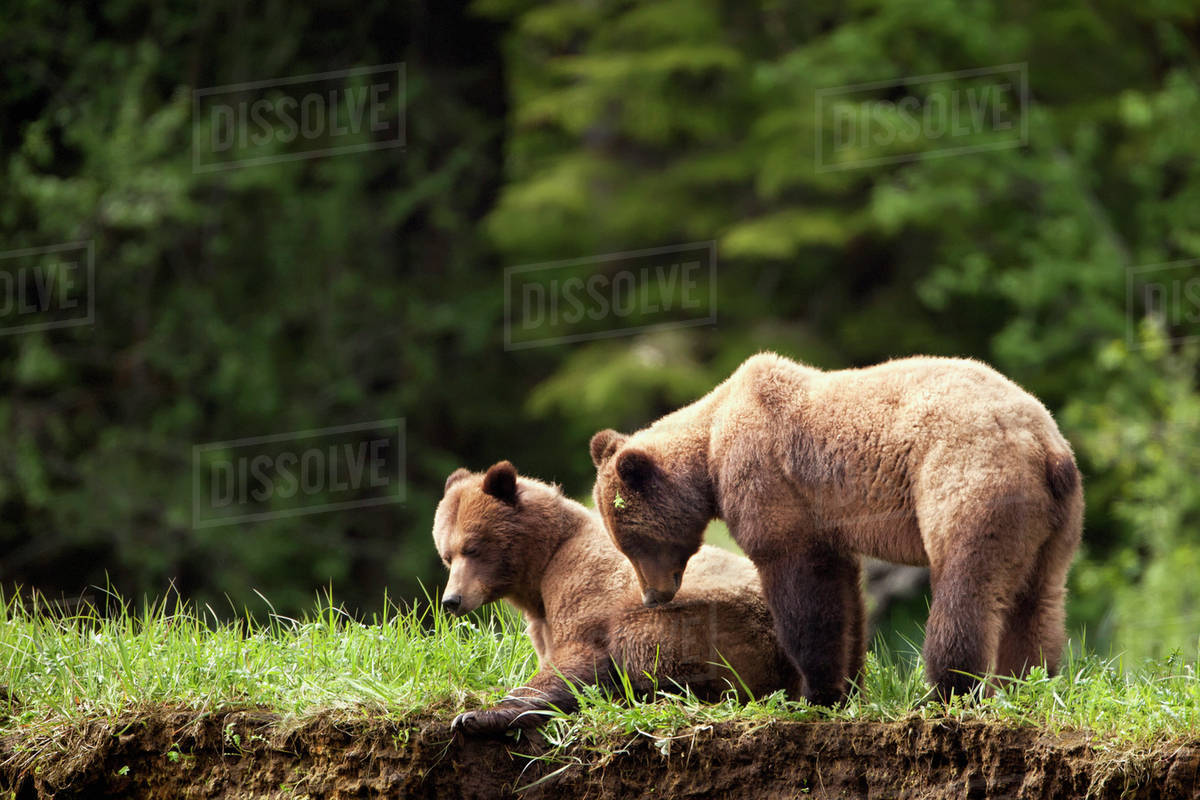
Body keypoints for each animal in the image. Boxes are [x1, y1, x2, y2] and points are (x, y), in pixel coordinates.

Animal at [434, 460, 800, 734]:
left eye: (472, 548)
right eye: (446, 555)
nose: (452, 600)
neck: (541, 567)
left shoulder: (582, 583)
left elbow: (576, 658)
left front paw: (476, 715)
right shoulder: (541, 619)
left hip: (713, 621)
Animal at [589, 352, 1083, 706]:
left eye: (632, 541)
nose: (654, 596)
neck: (709, 447)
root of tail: (1046, 446)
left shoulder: (771, 478)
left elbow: (803, 587)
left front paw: (816, 692)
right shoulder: (828, 517)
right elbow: (844, 593)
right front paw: (848, 686)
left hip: (969, 480)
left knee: (966, 587)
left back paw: (948, 690)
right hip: (1055, 521)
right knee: (1039, 599)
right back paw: (1029, 682)